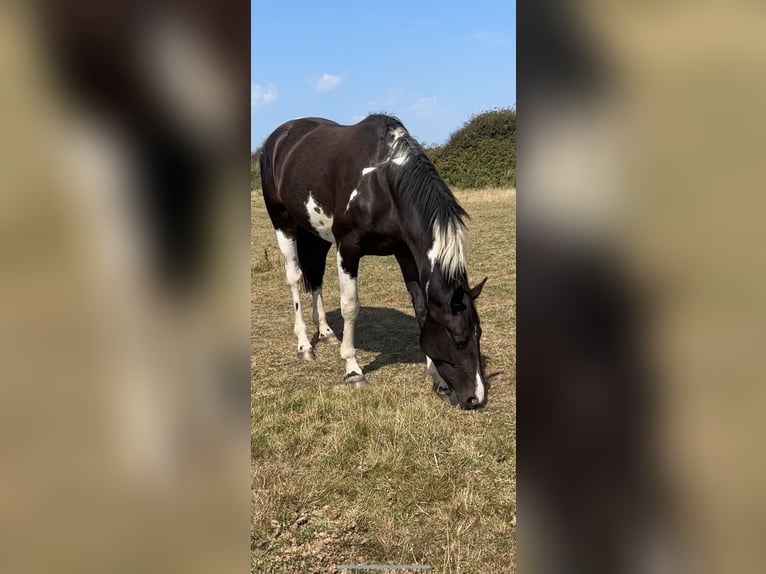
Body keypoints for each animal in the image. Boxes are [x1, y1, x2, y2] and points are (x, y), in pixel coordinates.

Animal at [260, 114, 488, 409]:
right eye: (459, 340)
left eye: (479, 333)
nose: (476, 398)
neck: (382, 182)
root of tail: (277, 139)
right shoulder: (348, 250)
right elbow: (350, 307)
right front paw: (352, 370)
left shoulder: (405, 253)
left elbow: (421, 309)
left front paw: (437, 378)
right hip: (283, 223)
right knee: (295, 279)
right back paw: (304, 345)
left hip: (317, 234)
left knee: (316, 275)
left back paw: (325, 332)